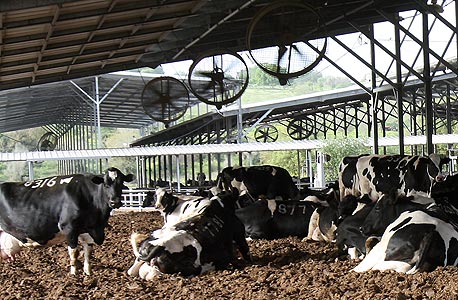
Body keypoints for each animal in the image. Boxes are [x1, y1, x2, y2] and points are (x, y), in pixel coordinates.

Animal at [0, 168, 134, 276]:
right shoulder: (69, 228)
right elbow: (74, 254)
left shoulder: (88, 230)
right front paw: (73, 275)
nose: (115, 202)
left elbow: (88, 252)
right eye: (105, 184)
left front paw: (88, 273)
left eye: (121, 183)